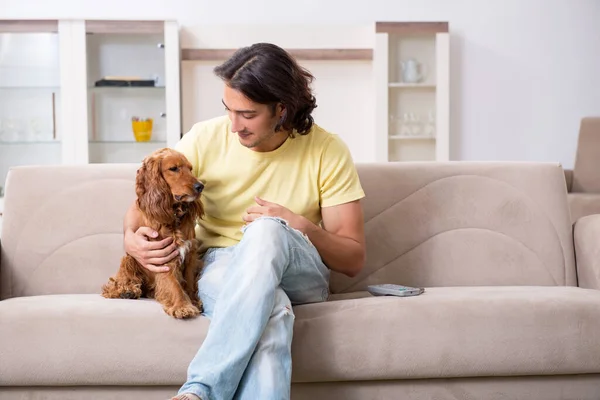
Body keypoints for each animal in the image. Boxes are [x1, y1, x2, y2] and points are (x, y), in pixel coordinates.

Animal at [102, 147, 205, 318]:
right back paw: (127, 290)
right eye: (174, 168)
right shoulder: (163, 255)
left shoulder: (191, 253)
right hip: (128, 258)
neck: (173, 215)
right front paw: (182, 306)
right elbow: (173, 284)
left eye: (190, 169)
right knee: (114, 283)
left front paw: (193, 301)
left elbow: (189, 281)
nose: (200, 186)